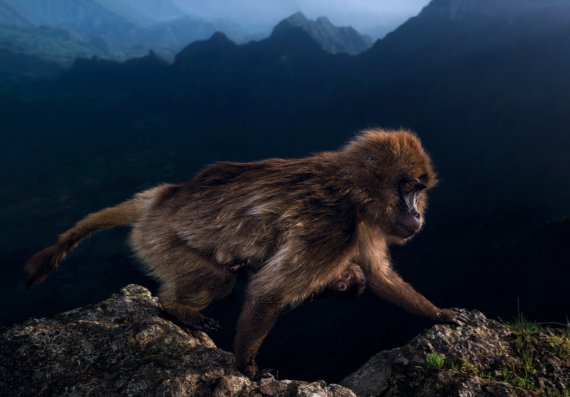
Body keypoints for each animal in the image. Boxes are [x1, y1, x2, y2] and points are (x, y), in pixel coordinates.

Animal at [25, 129, 466, 378]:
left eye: (419, 191)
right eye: (407, 189)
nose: (417, 215)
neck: (352, 190)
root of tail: (161, 199)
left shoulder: (363, 226)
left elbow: (379, 278)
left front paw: (438, 314)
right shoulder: (332, 227)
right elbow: (270, 292)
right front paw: (246, 367)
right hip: (159, 240)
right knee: (216, 278)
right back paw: (174, 307)